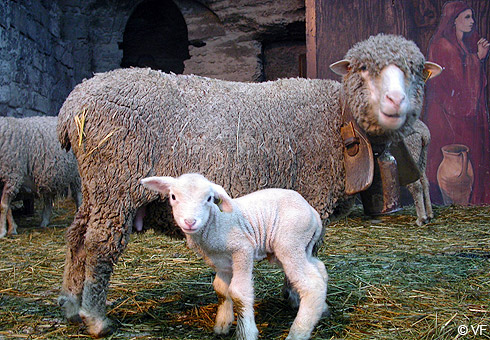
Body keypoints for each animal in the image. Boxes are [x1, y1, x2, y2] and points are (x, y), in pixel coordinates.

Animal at [140, 174, 328, 338]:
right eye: (173, 196)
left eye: (209, 198)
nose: (190, 222)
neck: (215, 223)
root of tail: (312, 211)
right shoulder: (222, 262)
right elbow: (220, 289)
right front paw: (223, 324)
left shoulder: (242, 250)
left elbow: (238, 292)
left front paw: (246, 333)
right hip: (299, 247)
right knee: (320, 269)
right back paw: (323, 309)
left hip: (290, 244)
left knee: (312, 284)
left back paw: (298, 332)